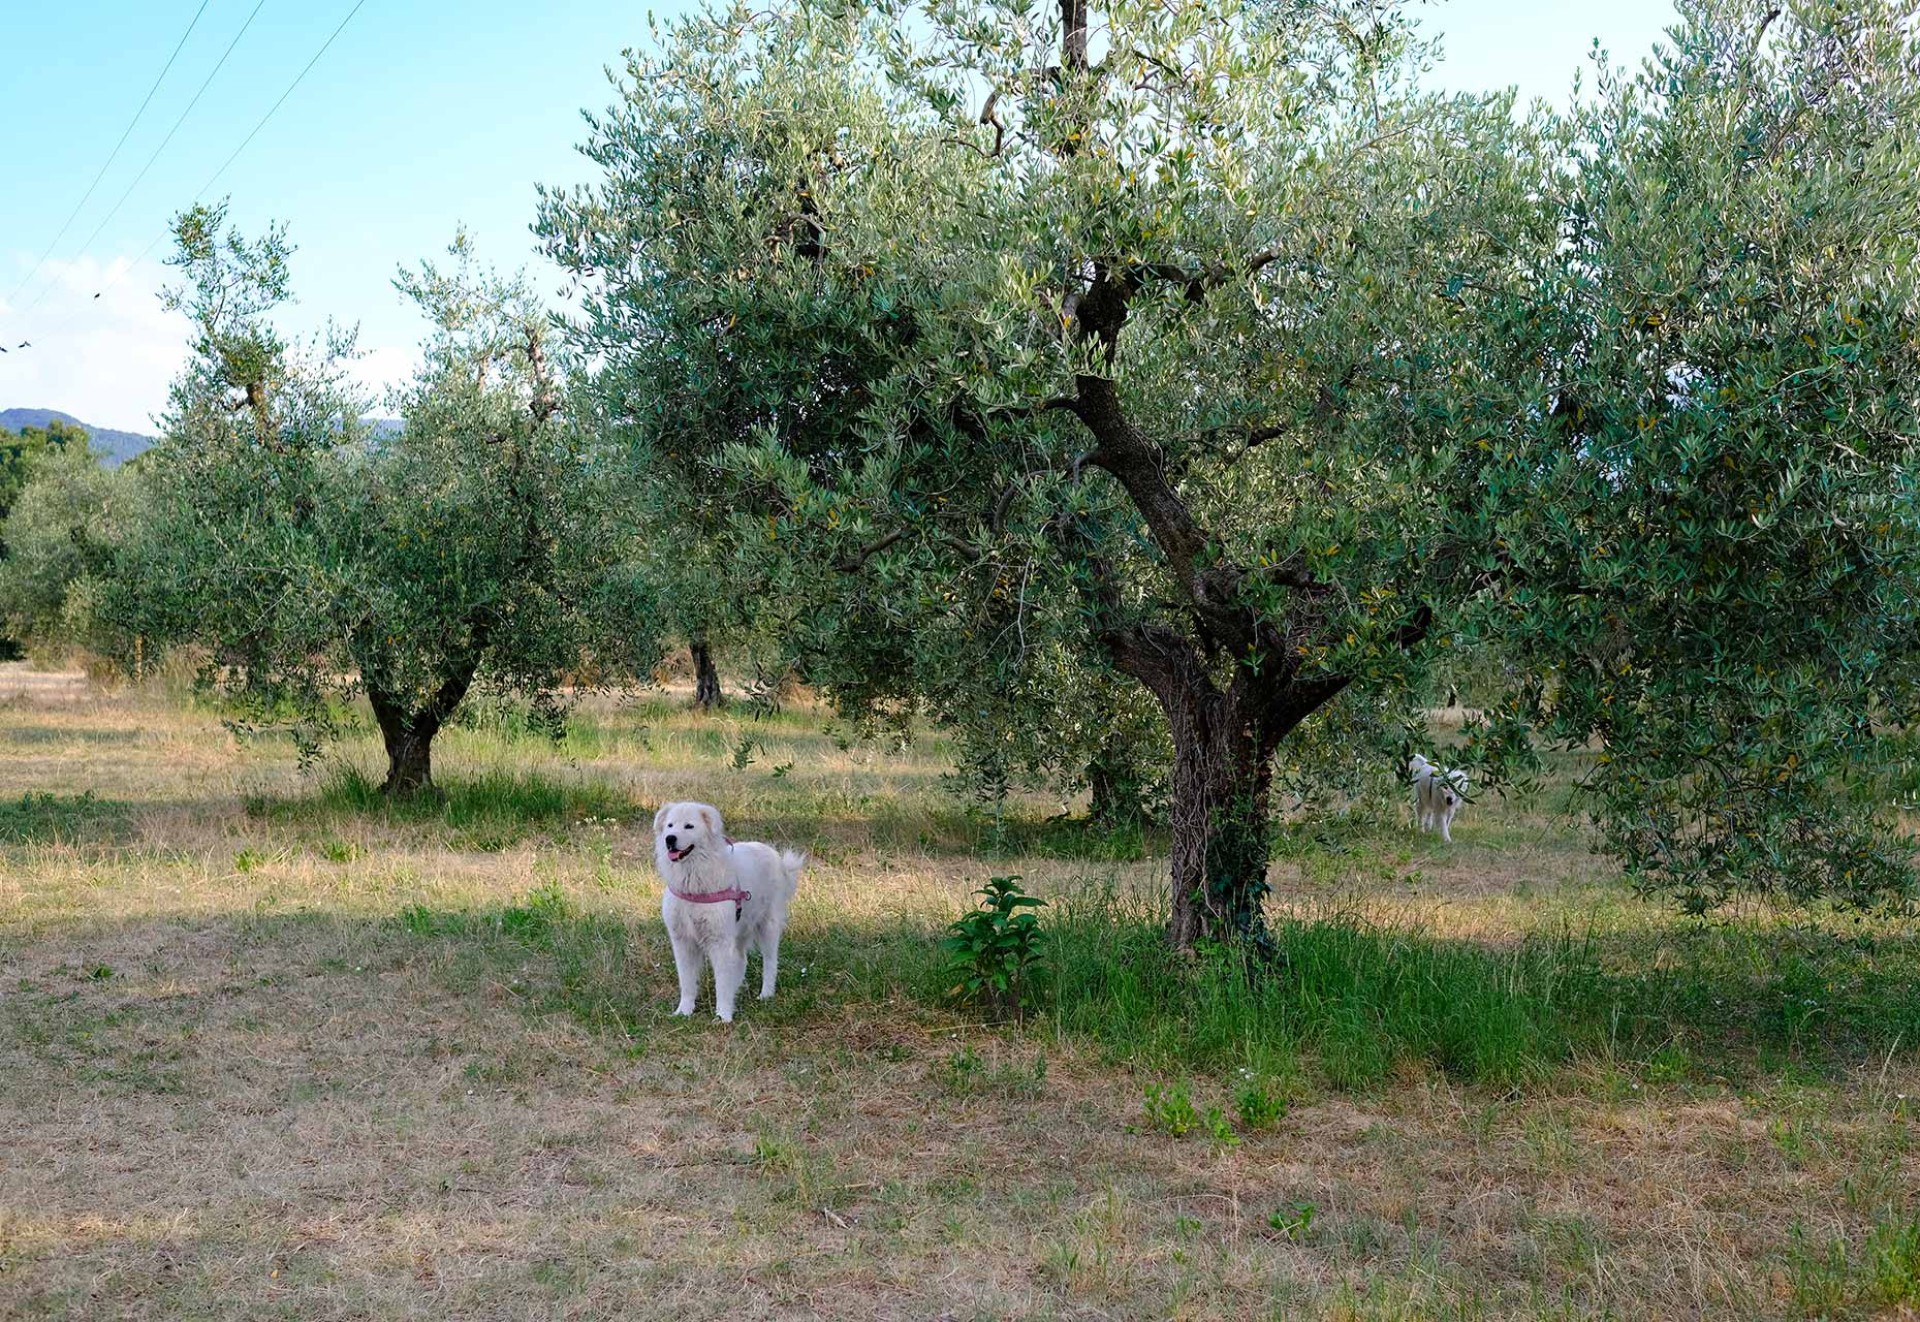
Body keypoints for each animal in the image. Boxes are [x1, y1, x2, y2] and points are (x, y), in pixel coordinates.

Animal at [653, 800, 805, 1022]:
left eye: (689, 826)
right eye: (670, 825)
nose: (669, 839)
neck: (693, 883)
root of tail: (775, 855)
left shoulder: (720, 941)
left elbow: (722, 982)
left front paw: (723, 1015)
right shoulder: (682, 942)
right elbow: (687, 982)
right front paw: (684, 1011)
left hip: (767, 927)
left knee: (770, 962)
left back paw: (766, 994)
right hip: (740, 929)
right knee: (741, 960)